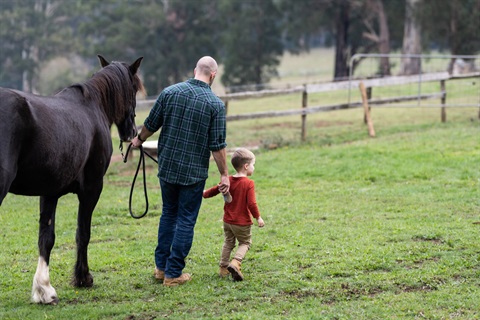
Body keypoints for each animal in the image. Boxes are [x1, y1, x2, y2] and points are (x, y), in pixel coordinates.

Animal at [0, 53, 144, 304]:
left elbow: (46, 237)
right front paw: (83, 278)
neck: (93, 107)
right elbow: (83, 233)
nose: (132, 132)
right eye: (134, 88)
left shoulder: (49, 192)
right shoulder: (92, 189)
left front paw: (44, 289)